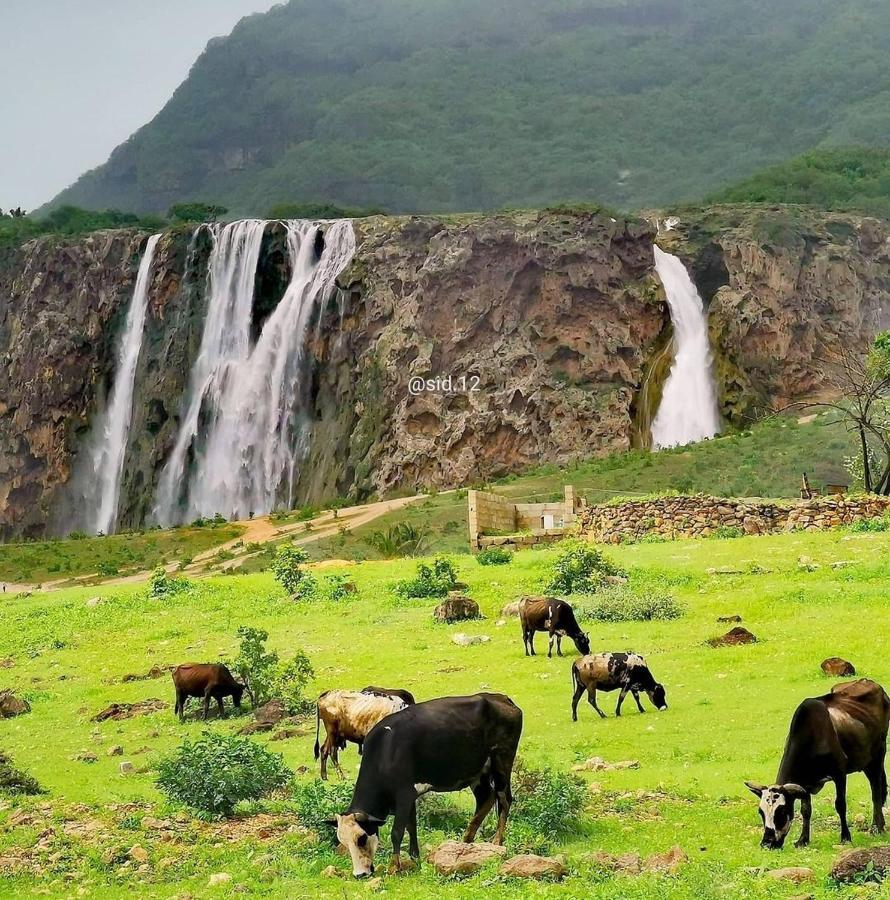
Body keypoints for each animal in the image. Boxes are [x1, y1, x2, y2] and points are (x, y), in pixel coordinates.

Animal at [330, 692, 520, 876]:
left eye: (361, 838)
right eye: (343, 841)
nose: (360, 874)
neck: (385, 751)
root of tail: (502, 698)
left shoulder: (404, 794)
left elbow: (397, 831)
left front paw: (394, 867)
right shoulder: (409, 796)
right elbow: (411, 827)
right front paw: (415, 859)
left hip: (502, 761)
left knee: (504, 800)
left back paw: (496, 841)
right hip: (478, 773)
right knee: (486, 798)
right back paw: (465, 842)